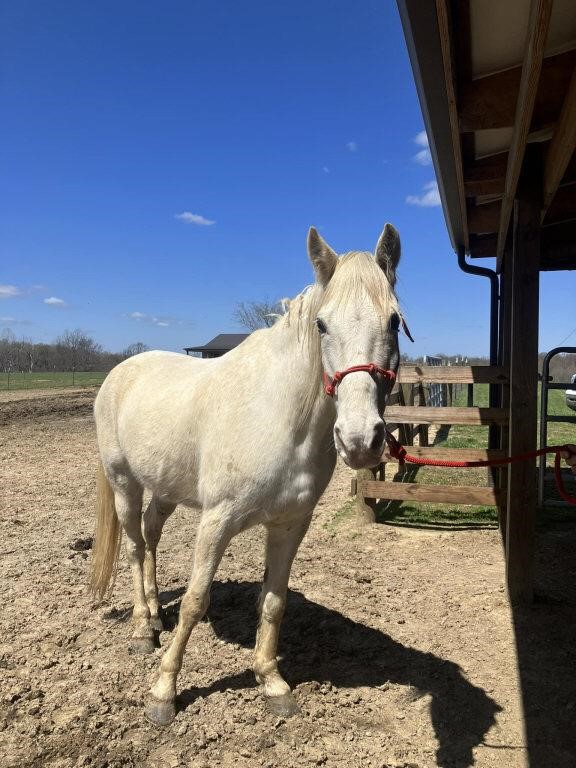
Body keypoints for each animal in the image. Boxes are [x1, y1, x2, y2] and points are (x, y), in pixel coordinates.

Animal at [92, 226, 402, 728]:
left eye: (394, 321)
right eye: (322, 325)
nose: (359, 439)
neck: (278, 416)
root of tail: (119, 371)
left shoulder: (291, 524)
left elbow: (273, 600)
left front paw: (271, 682)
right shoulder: (216, 521)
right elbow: (195, 600)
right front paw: (163, 693)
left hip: (166, 488)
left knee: (152, 535)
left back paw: (156, 613)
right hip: (123, 482)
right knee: (136, 547)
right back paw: (142, 629)